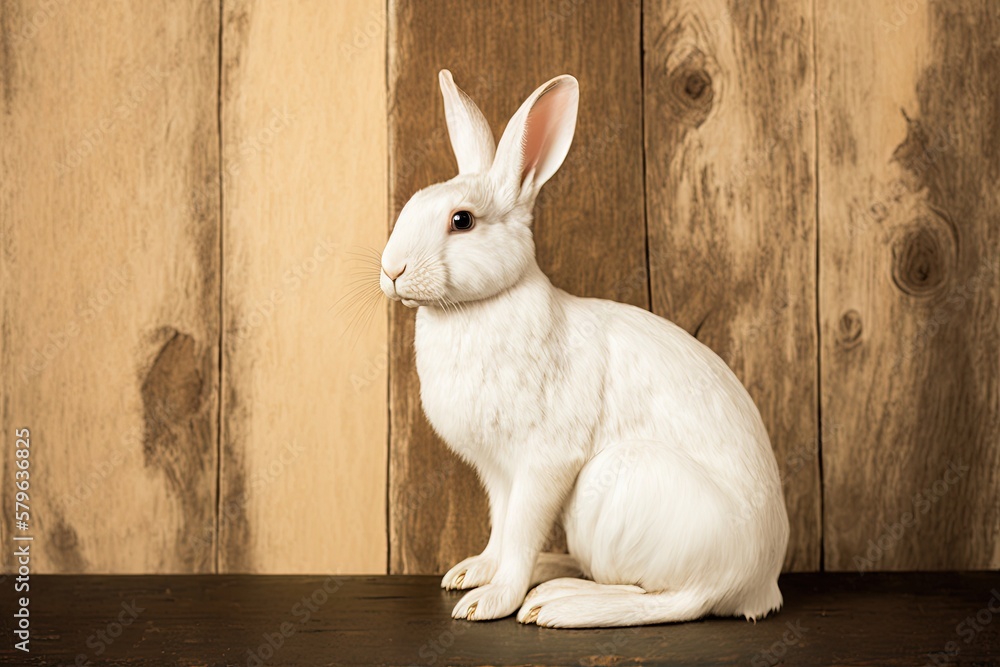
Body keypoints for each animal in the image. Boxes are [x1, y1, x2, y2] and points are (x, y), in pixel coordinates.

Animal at [376, 70, 788, 628]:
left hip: (618, 491)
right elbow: (502, 528)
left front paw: (490, 600)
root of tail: (759, 583)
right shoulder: (499, 473)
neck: (479, 308)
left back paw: (558, 603)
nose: (392, 269)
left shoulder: (544, 462)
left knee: (674, 600)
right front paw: (474, 572)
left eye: (462, 221)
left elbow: (521, 531)